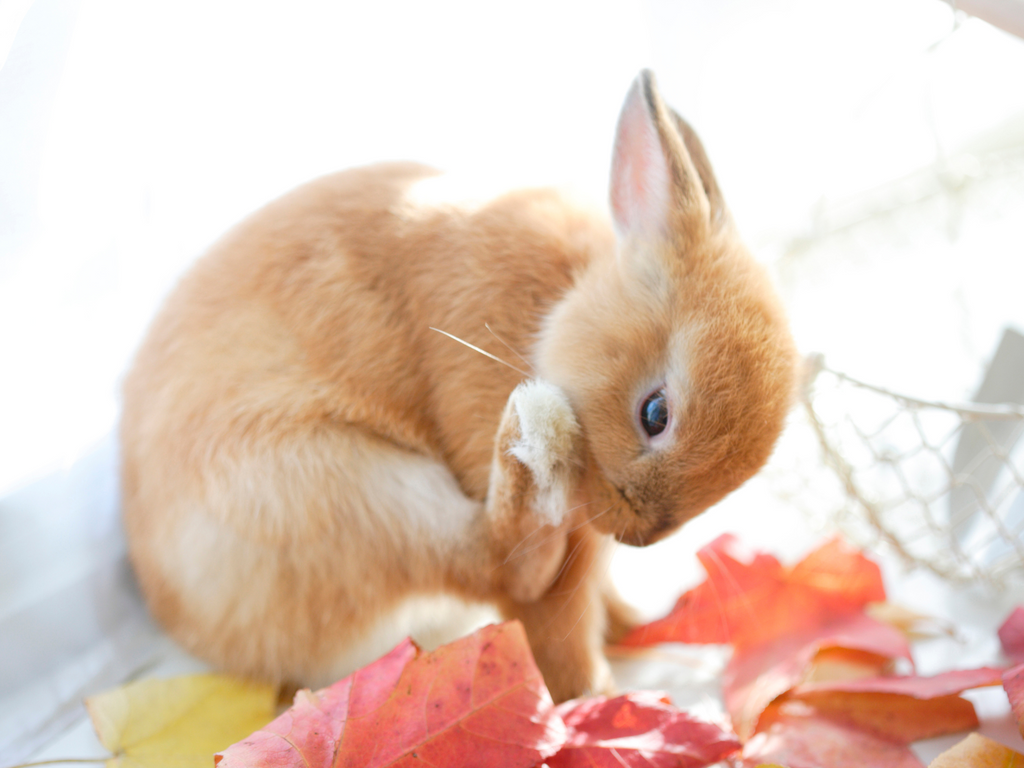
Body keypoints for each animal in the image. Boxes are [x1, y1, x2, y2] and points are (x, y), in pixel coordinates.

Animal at [117, 72, 790, 704]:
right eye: (655, 413)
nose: (635, 535)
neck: (562, 304)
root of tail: (199, 632)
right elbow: (547, 617)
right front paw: (590, 700)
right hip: (335, 490)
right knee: (500, 565)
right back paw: (537, 438)